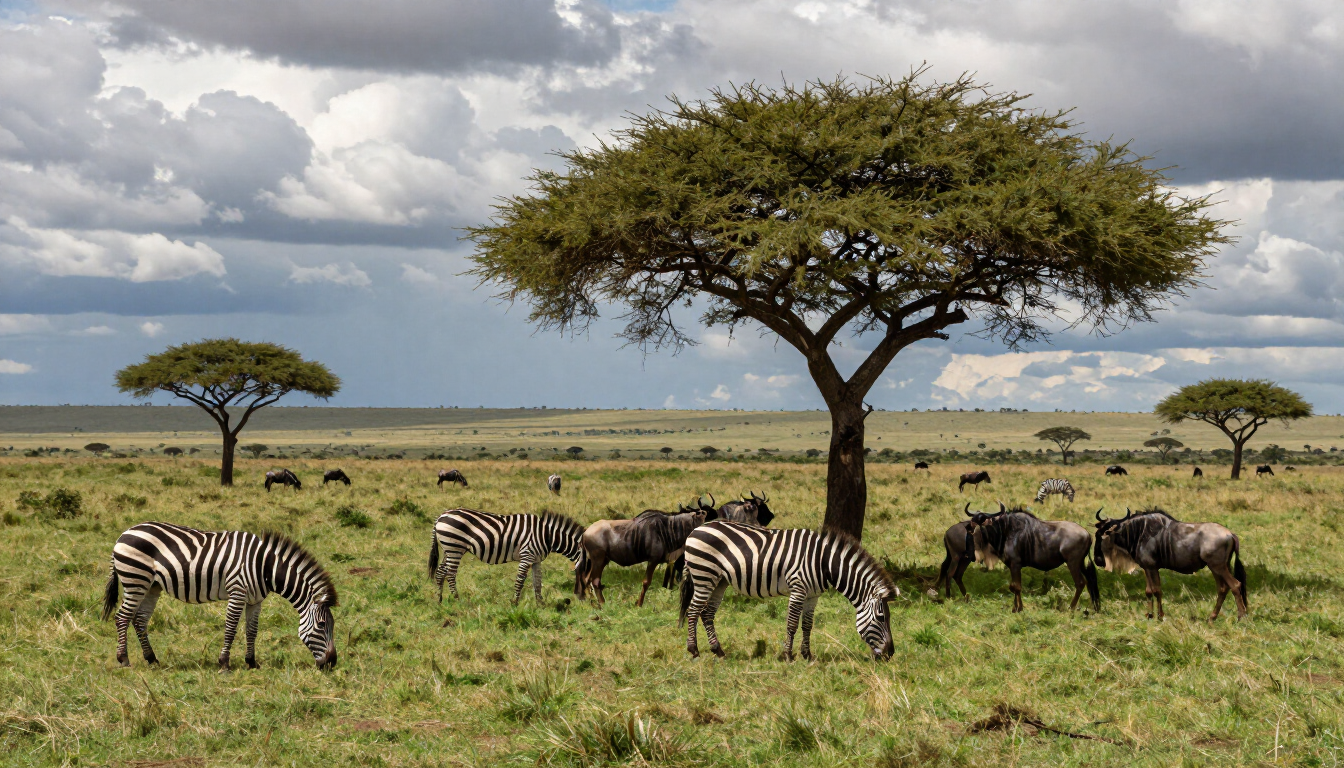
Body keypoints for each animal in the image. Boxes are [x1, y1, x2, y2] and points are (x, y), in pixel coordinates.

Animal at [101, 522, 338, 670]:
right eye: (321, 625)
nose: (332, 663)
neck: (264, 567)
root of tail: (124, 534)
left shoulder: (255, 600)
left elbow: (252, 631)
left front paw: (251, 663)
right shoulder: (237, 591)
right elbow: (231, 628)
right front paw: (224, 663)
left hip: (152, 586)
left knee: (139, 620)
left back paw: (152, 659)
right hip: (135, 580)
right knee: (122, 617)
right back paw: (124, 660)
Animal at [428, 508, 585, 604]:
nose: (583, 600)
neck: (547, 535)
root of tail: (440, 516)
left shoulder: (536, 559)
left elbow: (537, 582)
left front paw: (541, 604)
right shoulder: (527, 555)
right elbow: (520, 581)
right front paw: (514, 603)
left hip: (449, 549)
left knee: (441, 572)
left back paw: (439, 600)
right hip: (454, 548)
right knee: (451, 574)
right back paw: (457, 600)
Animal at [678, 521, 897, 661]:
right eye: (881, 618)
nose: (891, 653)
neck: (824, 563)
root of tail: (696, 529)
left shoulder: (813, 595)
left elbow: (807, 625)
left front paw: (807, 655)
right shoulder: (798, 588)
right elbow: (792, 624)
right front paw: (788, 655)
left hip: (719, 580)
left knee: (707, 614)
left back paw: (718, 651)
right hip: (704, 574)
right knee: (693, 611)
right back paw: (694, 650)